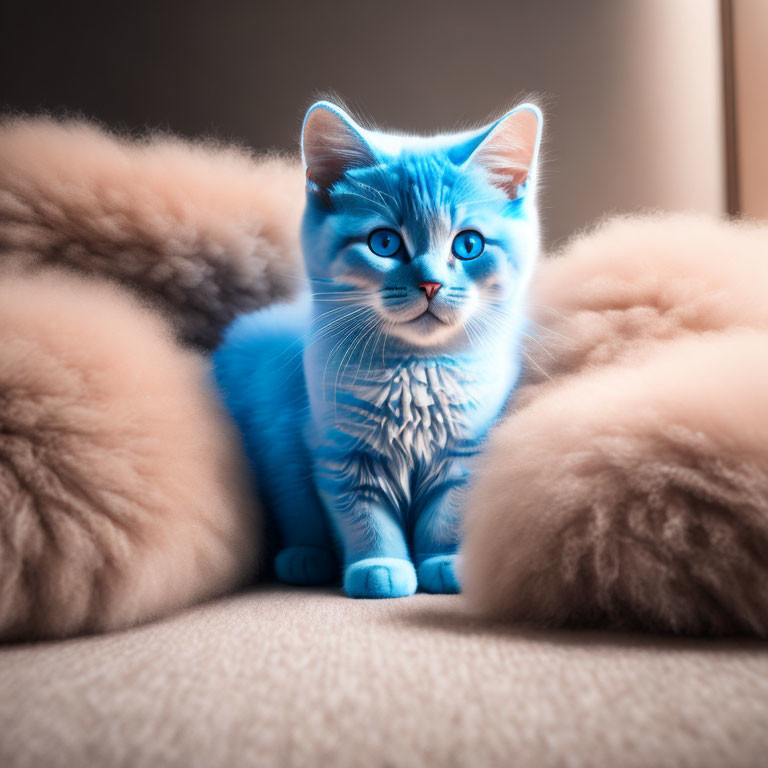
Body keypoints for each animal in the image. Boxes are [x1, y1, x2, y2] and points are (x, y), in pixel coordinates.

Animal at [213, 99, 544, 596]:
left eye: (469, 245)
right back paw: (304, 559)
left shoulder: (464, 452)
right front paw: (379, 570)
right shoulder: (340, 454)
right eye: (384, 242)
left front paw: (445, 562)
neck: (415, 369)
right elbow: (366, 520)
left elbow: (446, 515)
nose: (431, 284)